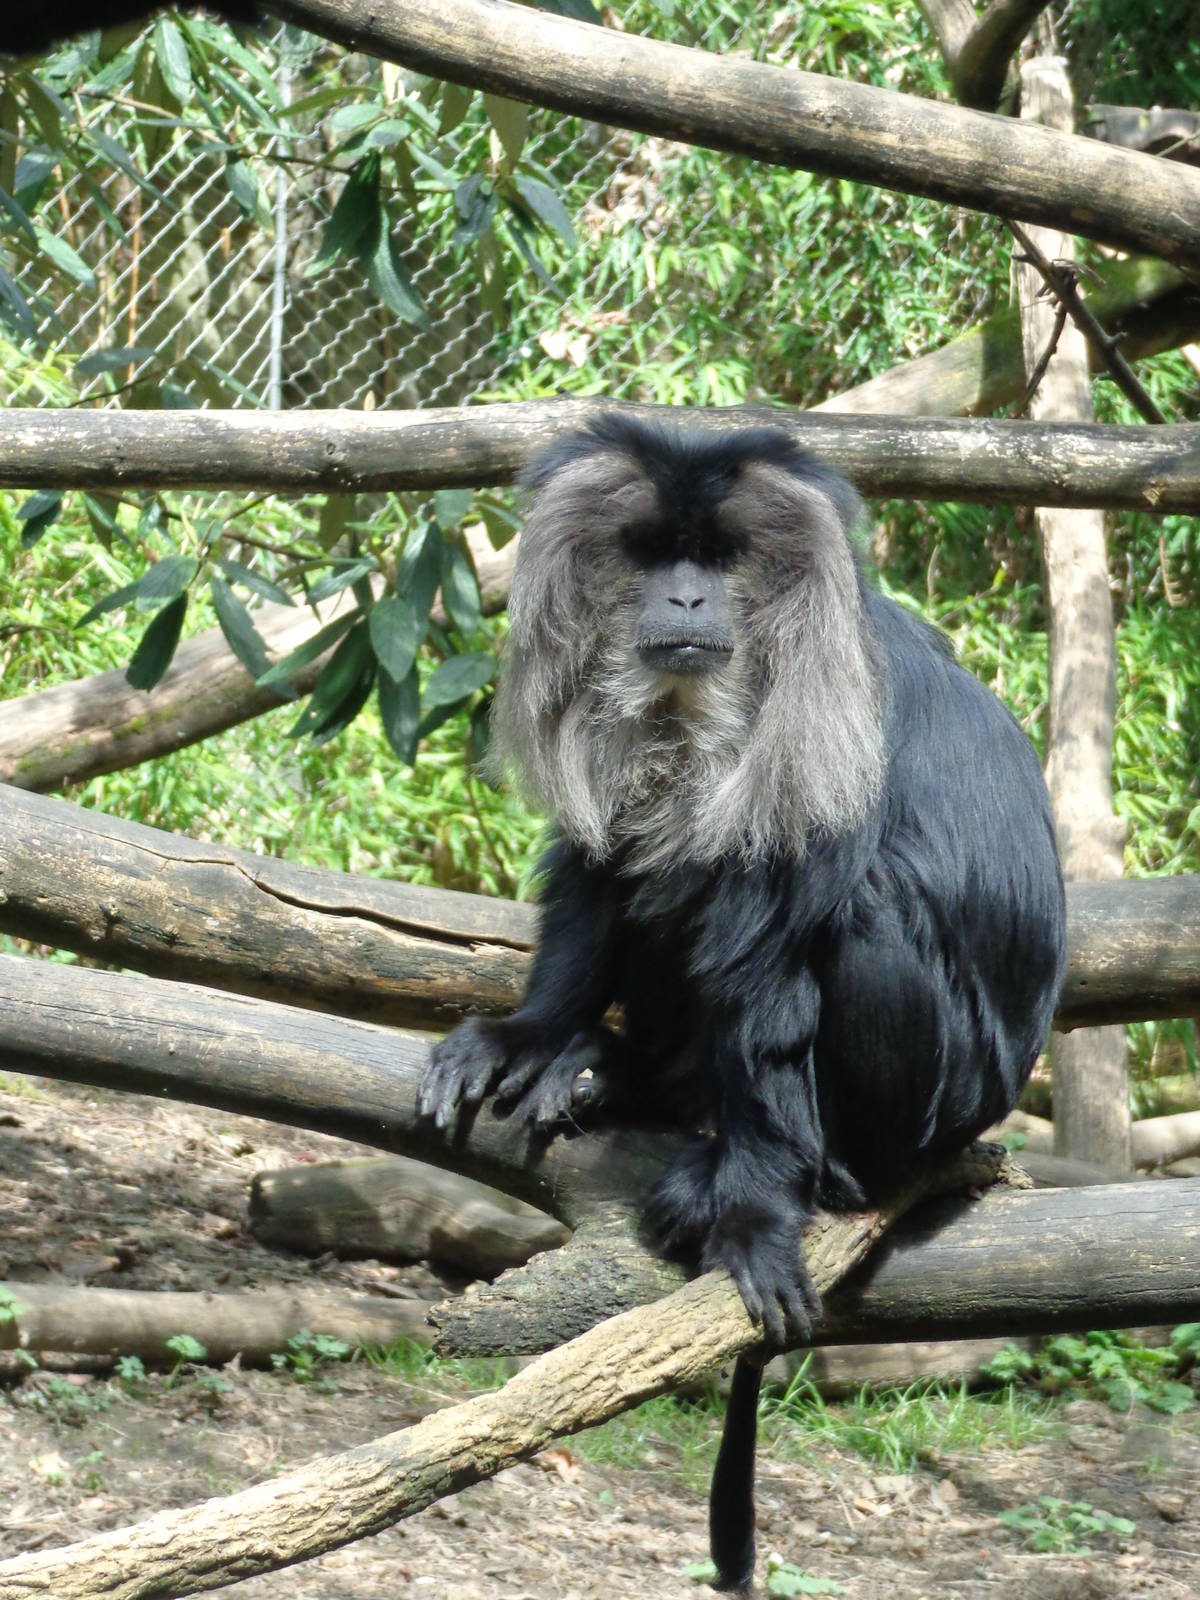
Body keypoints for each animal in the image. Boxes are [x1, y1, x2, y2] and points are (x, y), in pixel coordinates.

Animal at [418, 411, 1067, 1591]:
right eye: (652, 556)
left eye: (718, 562)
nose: (684, 602)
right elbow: (601, 865)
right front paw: (531, 1037)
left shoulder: (822, 727)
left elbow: (776, 957)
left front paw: (757, 1209)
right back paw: (618, 1073)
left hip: (940, 1096)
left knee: (846, 914)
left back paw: (800, 1167)